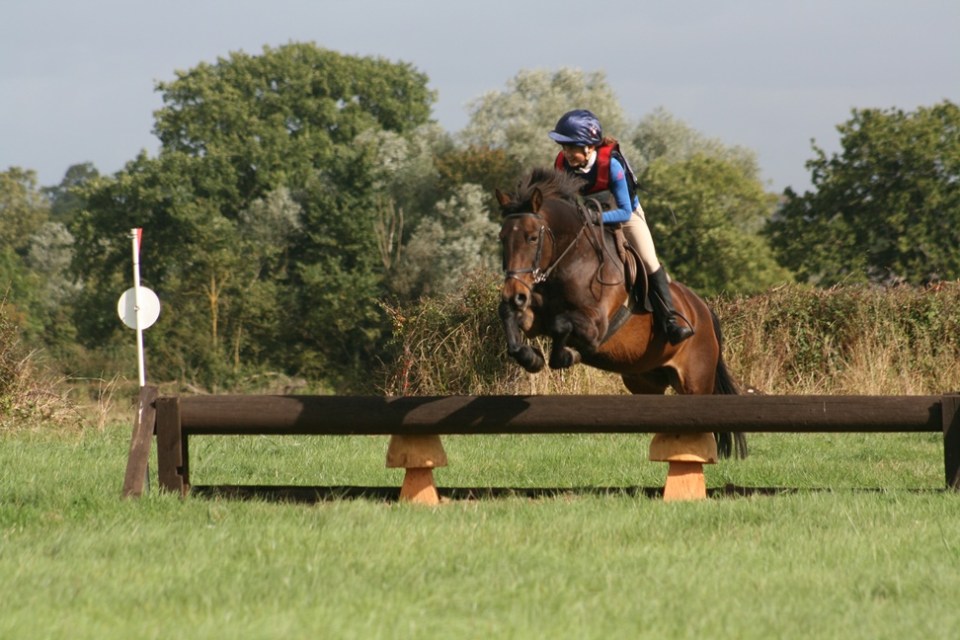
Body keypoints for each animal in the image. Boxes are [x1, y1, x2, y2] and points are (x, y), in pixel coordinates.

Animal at [495, 167, 747, 458]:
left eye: (532, 238)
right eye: (502, 238)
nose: (514, 294)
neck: (569, 261)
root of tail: (704, 310)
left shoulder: (595, 325)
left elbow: (561, 326)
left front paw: (569, 355)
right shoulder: (535, 316)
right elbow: (512, 319)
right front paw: (532, 357)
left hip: (696, 381)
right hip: (645, 381)